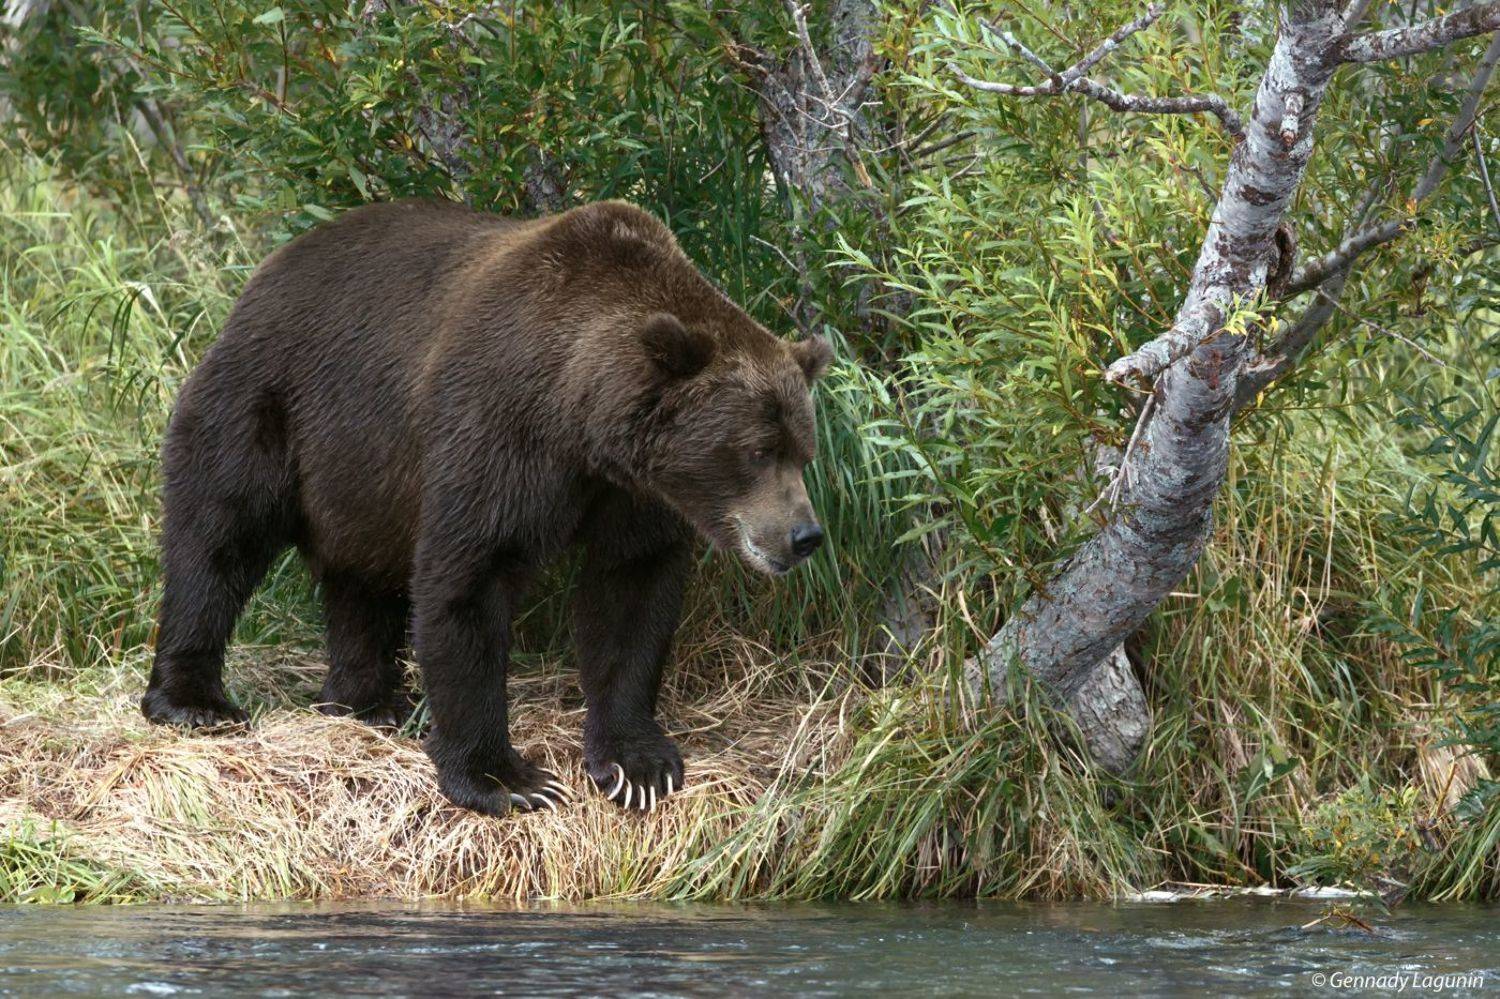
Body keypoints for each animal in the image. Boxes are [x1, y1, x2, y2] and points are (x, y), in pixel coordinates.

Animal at [140, 198, 831, 816]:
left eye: (804, 450)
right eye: (757, 450)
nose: (804, 535)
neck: (580, 423)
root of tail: (266, 271)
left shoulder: (633, 493)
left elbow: (631, 595)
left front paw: (638, 765)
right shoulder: (497, 430)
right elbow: (468, 579)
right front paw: (507, 779)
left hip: (361, 477)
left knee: (361, 577)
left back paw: (369, 702)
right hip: (269, 403)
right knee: (219, 534)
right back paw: (194, 699)